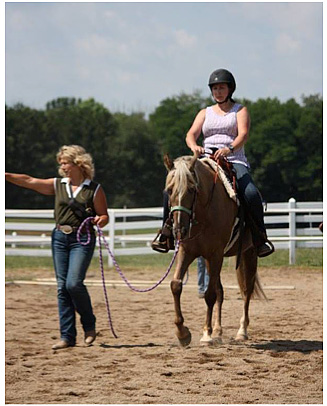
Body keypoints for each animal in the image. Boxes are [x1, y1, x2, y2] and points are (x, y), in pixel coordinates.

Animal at [164, 152, 266, 346]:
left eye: (192, 189)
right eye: (169, 190)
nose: (179, 230)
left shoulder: (216, 254)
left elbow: (209, 294)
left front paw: (207, 334)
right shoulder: (188, 252)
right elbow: (176, 285)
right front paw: (182, 333)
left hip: (249, 253)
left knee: (246, 291)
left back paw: (242, 331)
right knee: (221, 291)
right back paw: (218, 331)